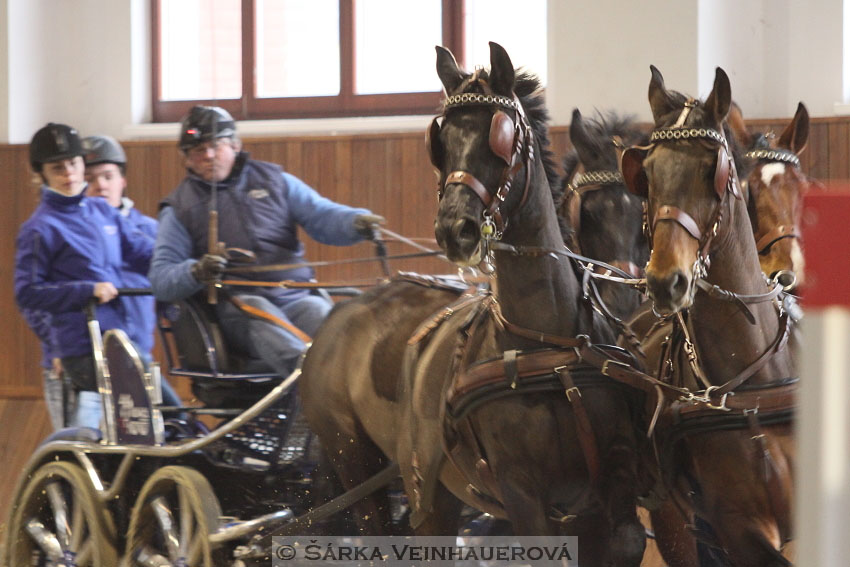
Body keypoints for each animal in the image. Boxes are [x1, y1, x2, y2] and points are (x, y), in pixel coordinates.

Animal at [398, 42, 644, 564]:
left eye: (500, 137)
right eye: (440, 142)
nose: (455, 228)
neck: (546, 344)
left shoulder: (611, 478)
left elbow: (628, 537)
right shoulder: (521, 490)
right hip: (429, 500)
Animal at [616, 64, 796, 564]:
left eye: (711, 169)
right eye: (647, 173)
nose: (666, 281)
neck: (752, 381)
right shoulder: (740, 529)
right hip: (673, 521)